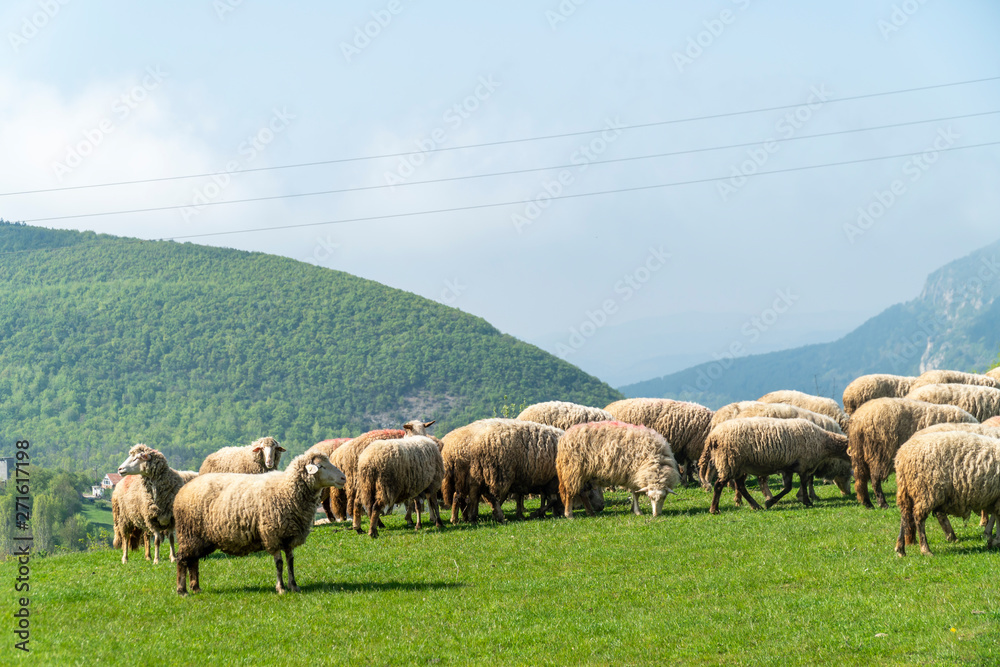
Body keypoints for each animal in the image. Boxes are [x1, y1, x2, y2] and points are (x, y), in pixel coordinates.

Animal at [173, 450, 346, 595]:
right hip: (188, 533)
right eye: (321, 466)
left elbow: (290, 562)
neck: (286, 489)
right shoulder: (272, 534)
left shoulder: (289, 536)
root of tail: (183, 490)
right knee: (182, 560)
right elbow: (279, 563)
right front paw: (281, 588)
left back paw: (196, 588)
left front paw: (294, 586)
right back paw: (182, 590)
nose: (343, 478)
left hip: (199, 537)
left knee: (193, 561)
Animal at [698, 417, 850, 514]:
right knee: (719, 484)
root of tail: (712, 436)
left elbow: (788, 487)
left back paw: (756, 506)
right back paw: (714, 509)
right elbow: (803, 483)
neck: (823, 442)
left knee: (740, 486)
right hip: (729, 461)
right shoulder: (803, 465)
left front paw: (770, 502)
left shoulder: (789, 467)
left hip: (739, 465)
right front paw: (807, 501)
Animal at [847, 397, 977, 509]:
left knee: (860, 478)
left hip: (859, 452)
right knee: (875, 479)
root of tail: (859, 419)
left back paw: (867, 502)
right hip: (879, 452)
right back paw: (882, 503)